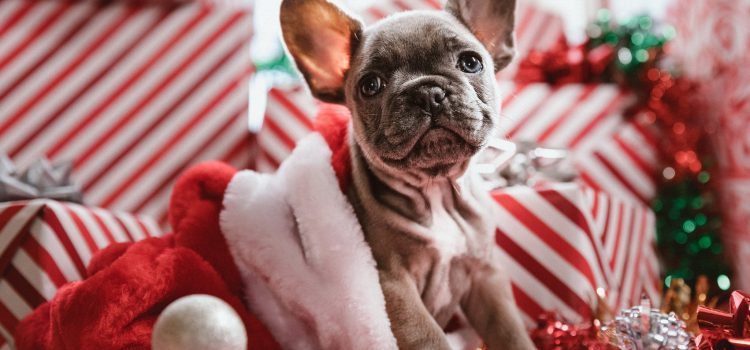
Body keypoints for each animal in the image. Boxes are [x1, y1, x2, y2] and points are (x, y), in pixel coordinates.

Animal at [280, 1, 536, 348]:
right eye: (370, 85)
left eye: (471, 62)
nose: (426, 92)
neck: (436, 188)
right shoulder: (394, 285)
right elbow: (429, 337)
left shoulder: (485, 275)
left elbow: (509, 330)